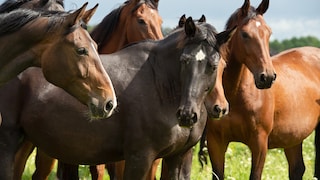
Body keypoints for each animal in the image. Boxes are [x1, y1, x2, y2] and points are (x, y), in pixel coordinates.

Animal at [0, 16, 234, 179]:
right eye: (184, 60)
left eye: (215, 65)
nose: (186, 115)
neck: (162, 86)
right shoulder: (139, 158)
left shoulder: (180, 157)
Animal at [198, 0, 320, 179]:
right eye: (245, 34)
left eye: (268, 33)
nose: (267, 77)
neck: (236, 96)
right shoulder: (216, 143)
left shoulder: (260, 143)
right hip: (293, 138)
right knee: (297, 169)